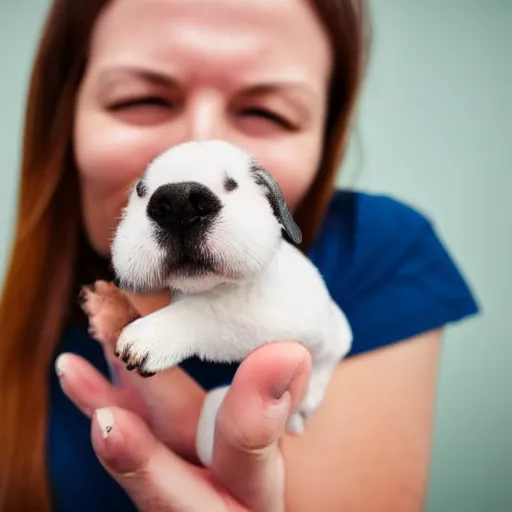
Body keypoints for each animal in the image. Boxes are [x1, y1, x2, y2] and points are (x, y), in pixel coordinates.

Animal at [111, 140, 352, 468]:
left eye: (232, 185)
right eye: (140, 189)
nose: (179, 202)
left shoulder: (269, 314)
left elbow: (206, 311)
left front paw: (154, 334)